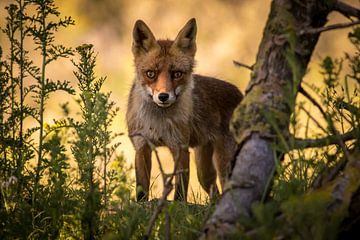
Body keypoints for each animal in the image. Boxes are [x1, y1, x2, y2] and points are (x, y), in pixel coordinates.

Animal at [126, 18, 242, 202]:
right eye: (151, 73)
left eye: (177, 74)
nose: (163, 96)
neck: (158, 122)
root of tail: (241, 94)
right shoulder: (142, 146)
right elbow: (141, 190)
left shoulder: (180, 148)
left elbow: (180, 190)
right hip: (204, 171)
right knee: (214, 193)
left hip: (224, 165)